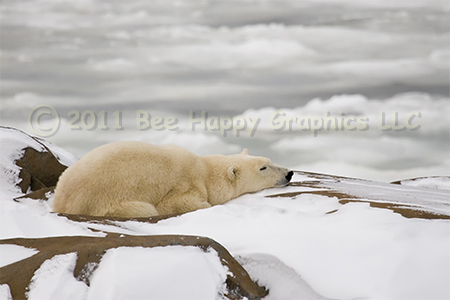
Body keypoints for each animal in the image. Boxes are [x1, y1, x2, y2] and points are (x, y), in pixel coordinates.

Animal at [52, 142, 294, 217]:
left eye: (270, 160)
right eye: (263, 167)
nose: (289, 173)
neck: (204, 170)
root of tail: (62, 202)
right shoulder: (184, 186)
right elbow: (180, 203)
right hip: (107, 202)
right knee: (144, 209)